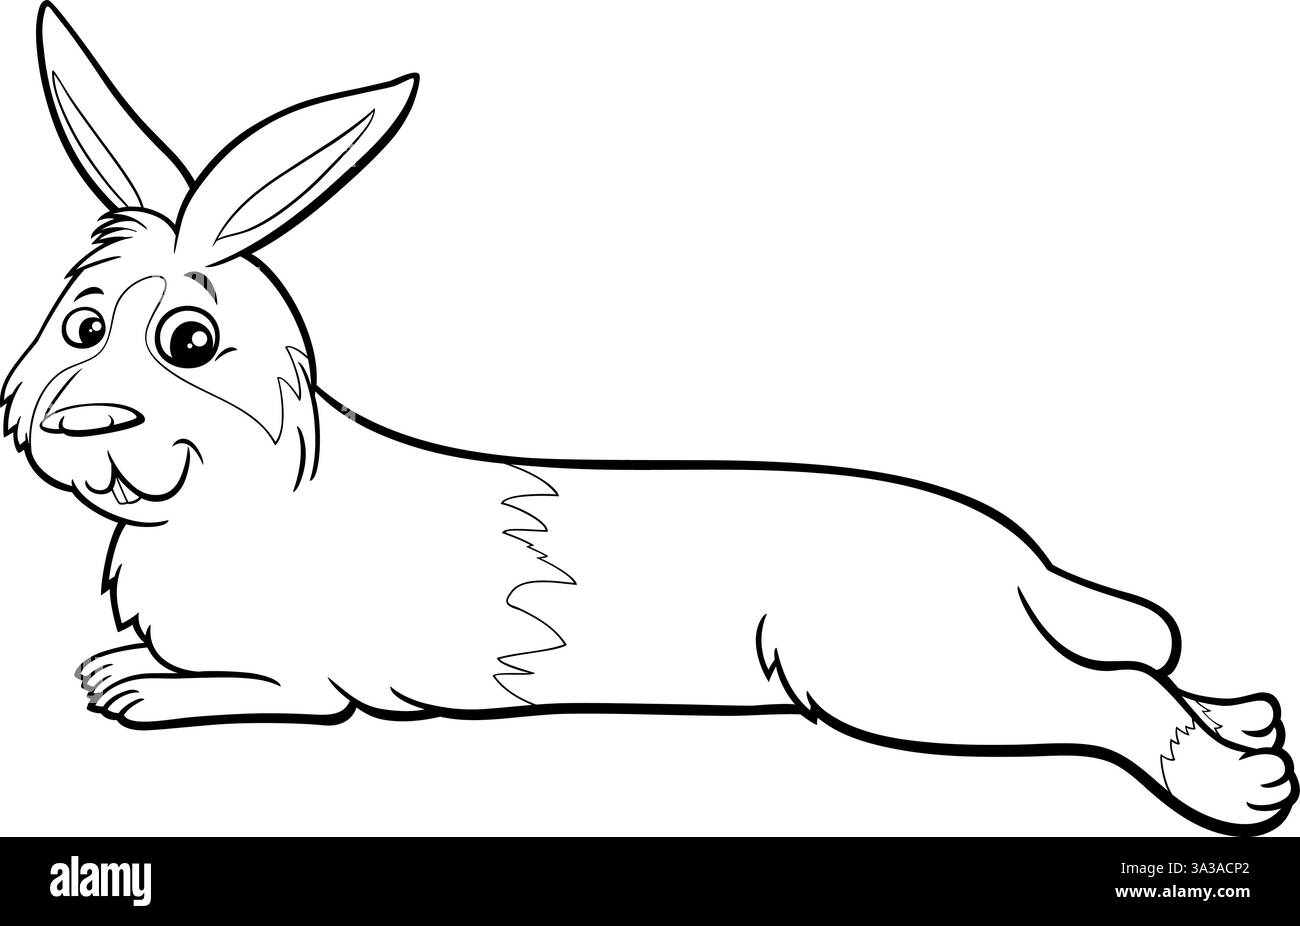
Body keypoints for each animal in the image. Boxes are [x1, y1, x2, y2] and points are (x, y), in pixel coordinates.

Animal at [4, 3, 1295, 836]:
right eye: (80, 324)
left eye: (189, 340)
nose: (75, 422)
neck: (248, 497)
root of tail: (1012, 557)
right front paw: (109, 662)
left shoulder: (309, 680)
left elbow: (243, 691)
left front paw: (133, 693)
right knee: (1131, 655)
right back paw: (1248, 719)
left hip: (896, 670)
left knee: (1106, 696)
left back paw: (1233, 786)